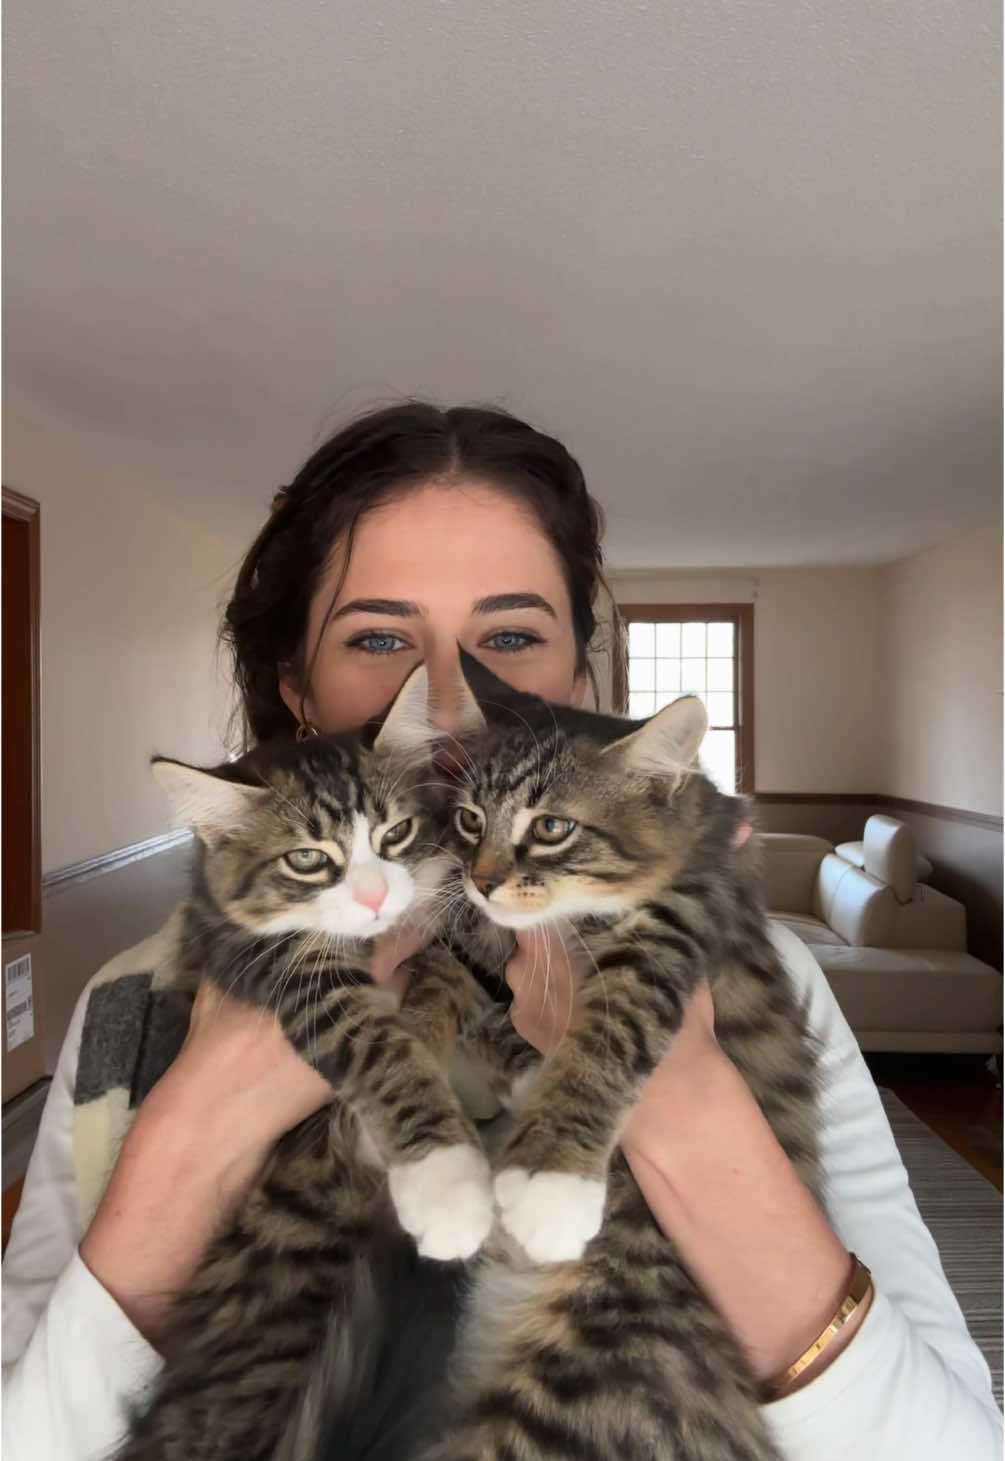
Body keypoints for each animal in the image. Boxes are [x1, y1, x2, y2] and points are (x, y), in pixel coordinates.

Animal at [415, 652, 823, 1461]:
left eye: (551, 827)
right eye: (470, 819)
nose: (482, 876)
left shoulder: (675, 920)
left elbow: (609, 1033)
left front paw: (549, 1179)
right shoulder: (481, 936)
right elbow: (442, 974)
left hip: (571, 1390)